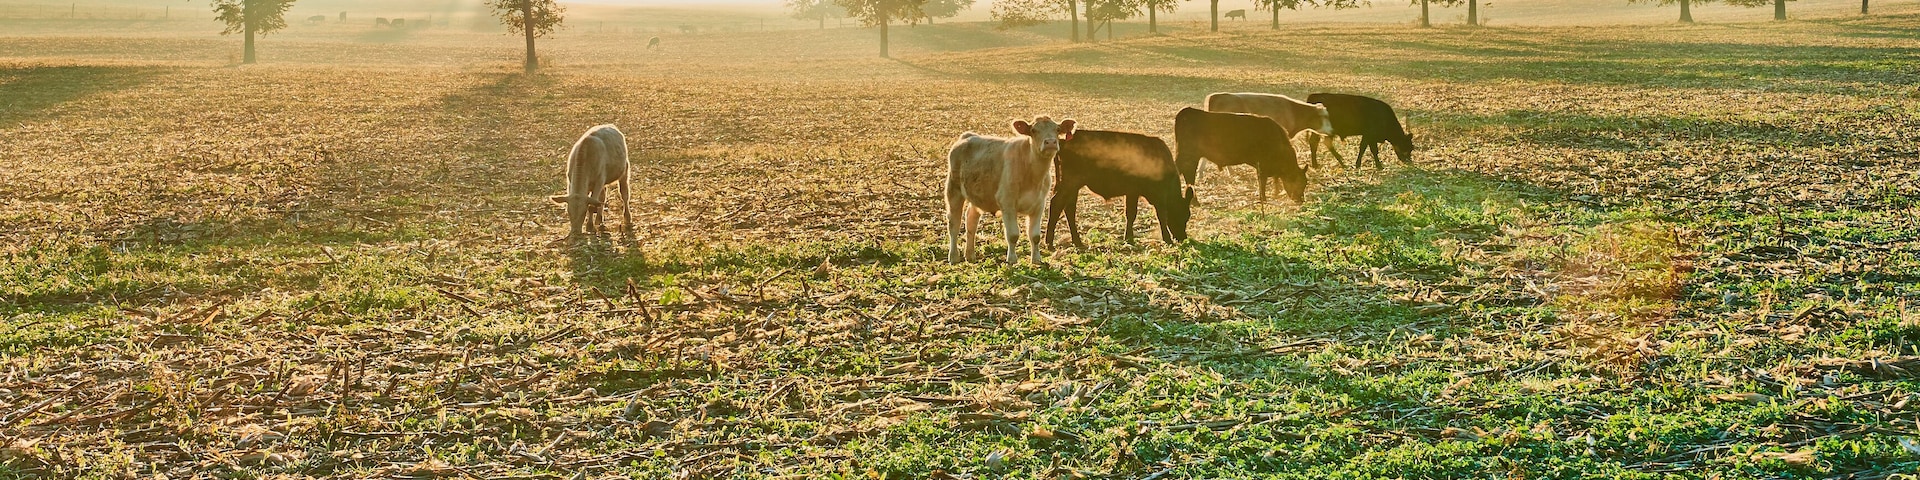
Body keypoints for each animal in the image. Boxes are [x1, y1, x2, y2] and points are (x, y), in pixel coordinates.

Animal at [946, 116, 1076, 264]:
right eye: (1033, 130)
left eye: (1058, 129)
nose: (1050, 142)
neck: (1032, 173)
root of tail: (968, 136)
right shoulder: (1007, 203)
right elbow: (1013, 235)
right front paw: (1012, 260)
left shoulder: (1039, 205)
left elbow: (1035, 236)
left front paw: (1036, 260)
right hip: (953, 190)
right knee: (954, 224)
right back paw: (953, 257)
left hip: (978, 195)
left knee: (971, 220)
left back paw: (970, 255)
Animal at [1047, 130, 1193, 249]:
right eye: (1183, 215)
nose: (1182, 238)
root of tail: (1062, 142)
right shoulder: (1158, 195)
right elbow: (1162, 216)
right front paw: (1167, 239)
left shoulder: (1132, 192)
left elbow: (1131, 214)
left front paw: (1129, 238)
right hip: (1071, 182)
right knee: (1057, 203)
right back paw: (1049, 243)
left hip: (1072, 186)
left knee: (1069, 209)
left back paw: (1077, 242)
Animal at [1174, 108, 1307, 203]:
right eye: (1299, 182)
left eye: (1305, 183)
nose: (1300, 200)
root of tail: (1187, 111)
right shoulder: (1262, 166)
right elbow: (1263, 182)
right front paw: (1263, 199)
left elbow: (1275, 180)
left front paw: (1275, 193)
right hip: (1187, 156)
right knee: (1187, 175)